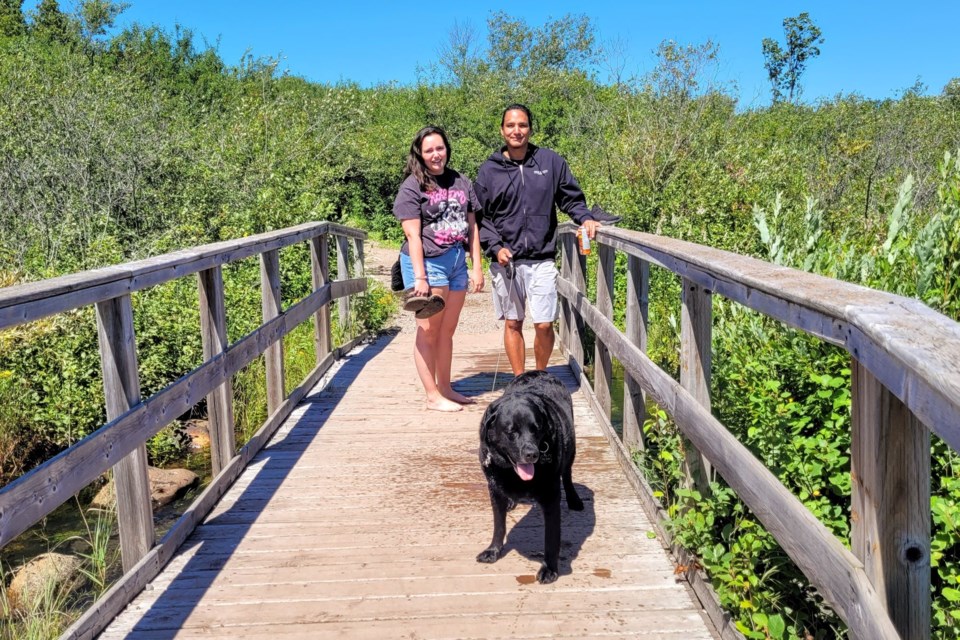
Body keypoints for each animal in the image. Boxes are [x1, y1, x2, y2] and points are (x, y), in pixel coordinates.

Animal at [474, 370, 580, 584]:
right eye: (511, 431)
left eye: (536, 428)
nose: (532, 454)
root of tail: (540, 372)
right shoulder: (494, 489)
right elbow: (499, 525)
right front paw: (493, 550)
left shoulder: (551, 497)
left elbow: (551, 538)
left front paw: (549, 569)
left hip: (571, 450)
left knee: (568, 475)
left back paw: (574, 499)